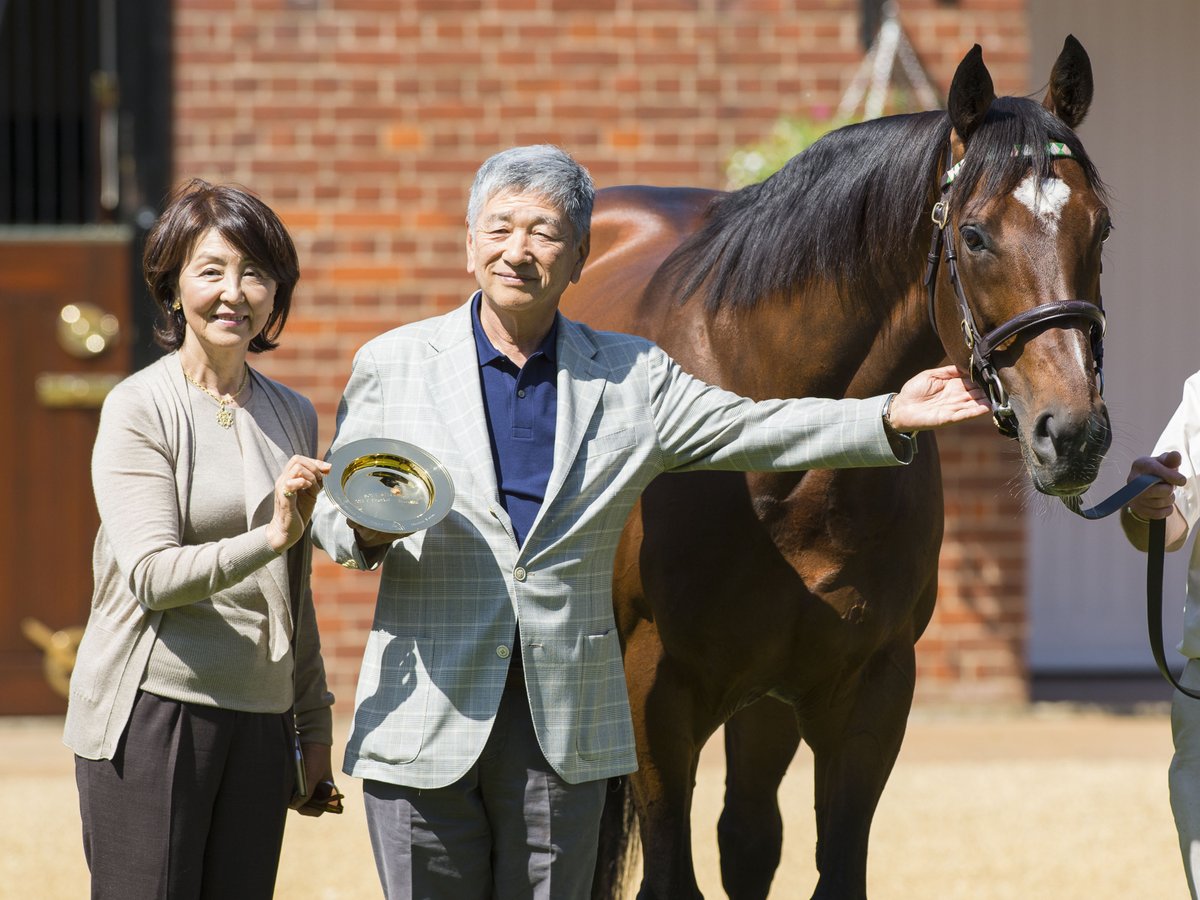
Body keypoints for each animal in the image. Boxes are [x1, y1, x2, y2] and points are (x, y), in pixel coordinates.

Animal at [561, 36, 1110, 900]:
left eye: (1103, 229)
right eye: (976, 236)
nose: (1074, 434)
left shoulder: (869, 693)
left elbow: (833, 867)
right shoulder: (653, 690)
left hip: (763, 700)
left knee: (748, 839)